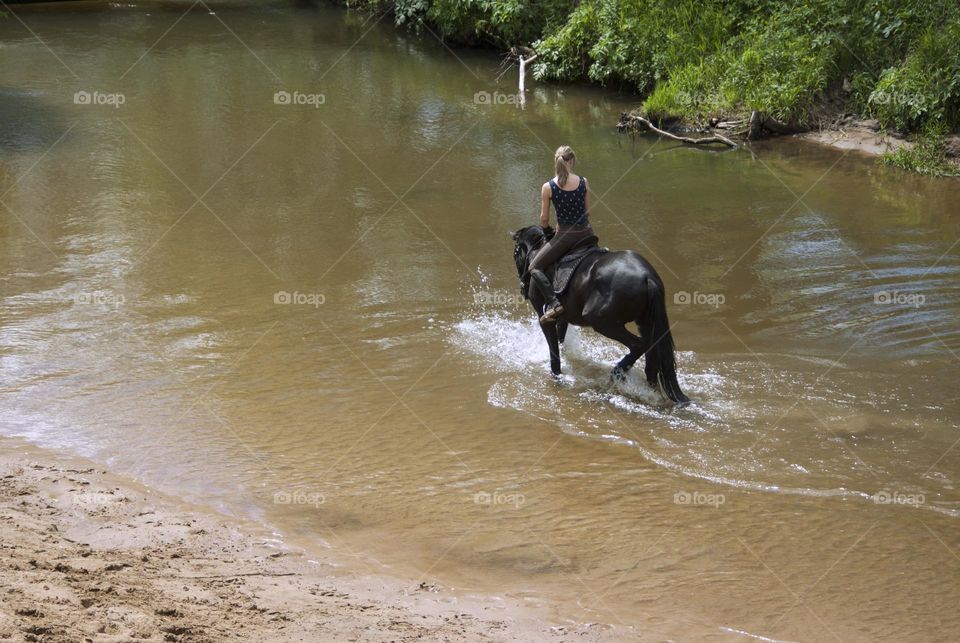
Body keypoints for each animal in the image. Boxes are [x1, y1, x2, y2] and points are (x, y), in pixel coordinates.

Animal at [512, 228, 688, 408]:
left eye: (515, 253)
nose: (522, 288)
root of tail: (648, 277)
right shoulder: (563, 317)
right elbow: (560, 339)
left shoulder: (545, 317)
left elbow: (553, 349)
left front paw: (556, 375)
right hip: (643, 321)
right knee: (651, 351)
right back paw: (649, 388)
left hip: (602, 322)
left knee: (638, 345)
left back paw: (617, 373)